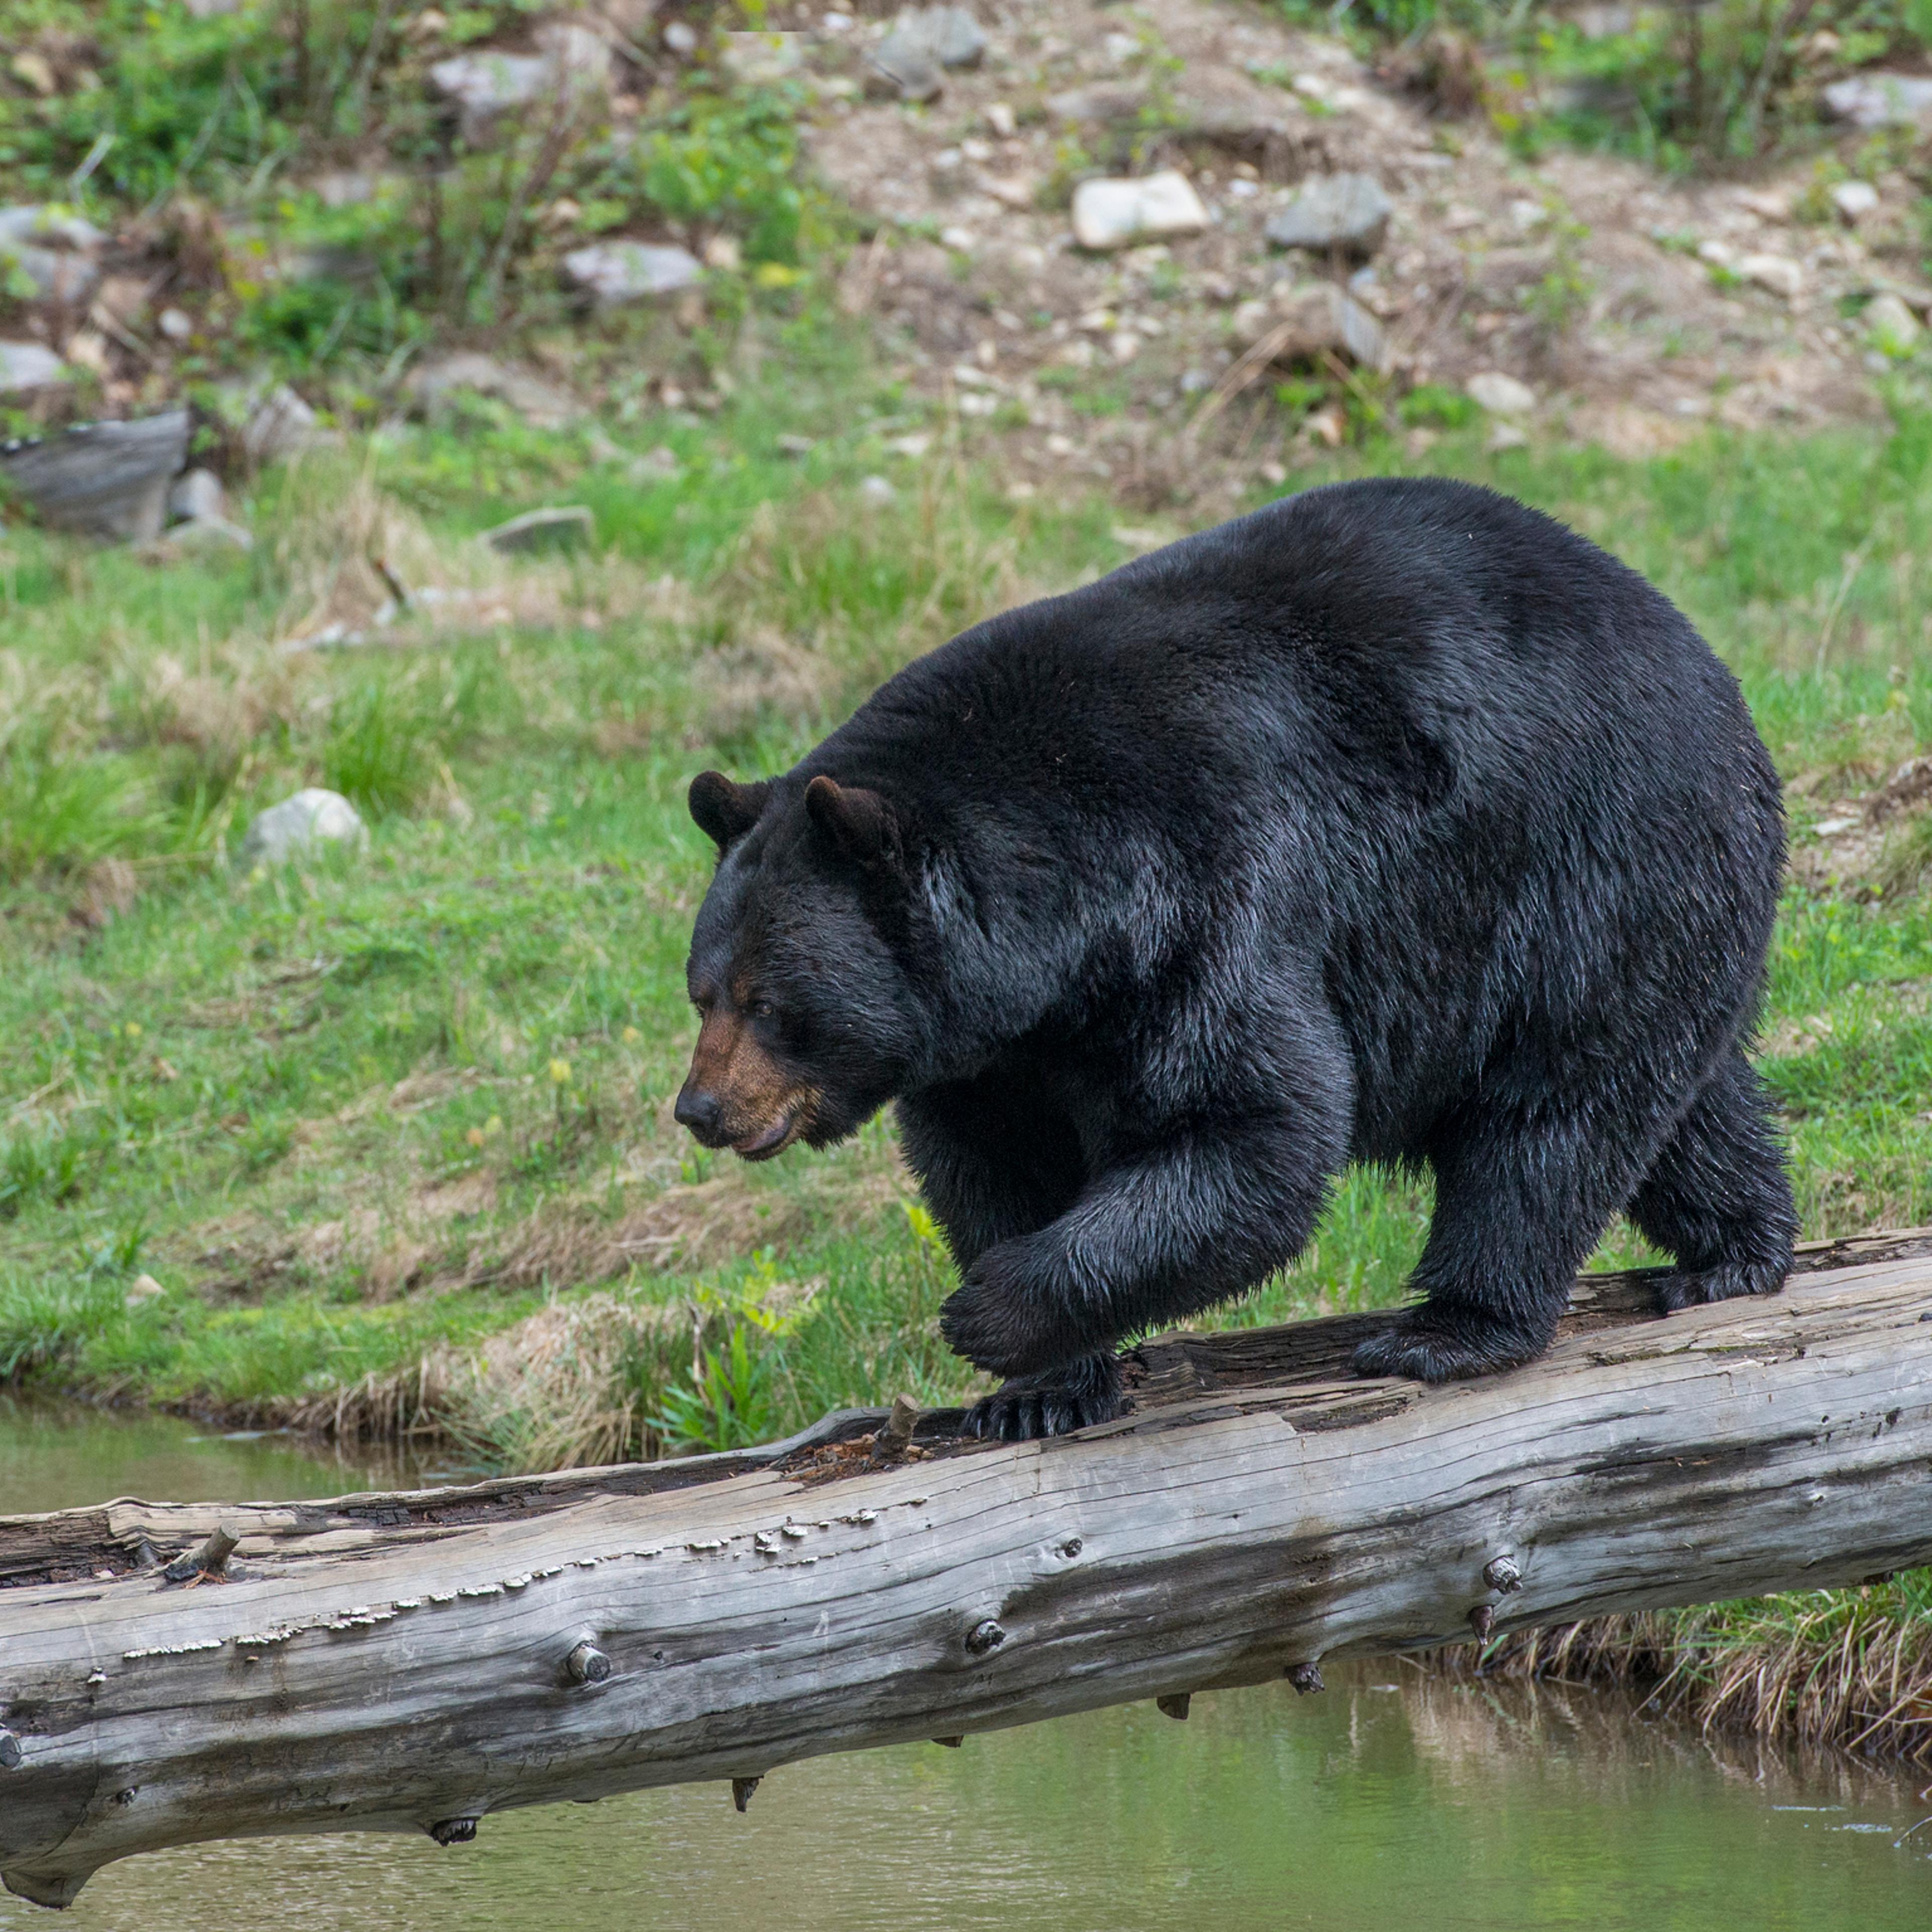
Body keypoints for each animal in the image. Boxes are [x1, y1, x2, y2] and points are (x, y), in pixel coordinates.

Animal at [675, 476, 1796, 1441]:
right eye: (703, 994)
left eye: (770, 1003)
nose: (701, 1108)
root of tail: (1706, 661)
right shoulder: (991, 1052)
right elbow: (991, 1162)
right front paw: (1035, 1391)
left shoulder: (1209, 903)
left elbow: (1250, 1126)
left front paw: (988, 1312)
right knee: (1677, 1099)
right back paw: (1735, 1252)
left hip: (1591, 866)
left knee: (1550, 1113)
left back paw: (1455, 1327)